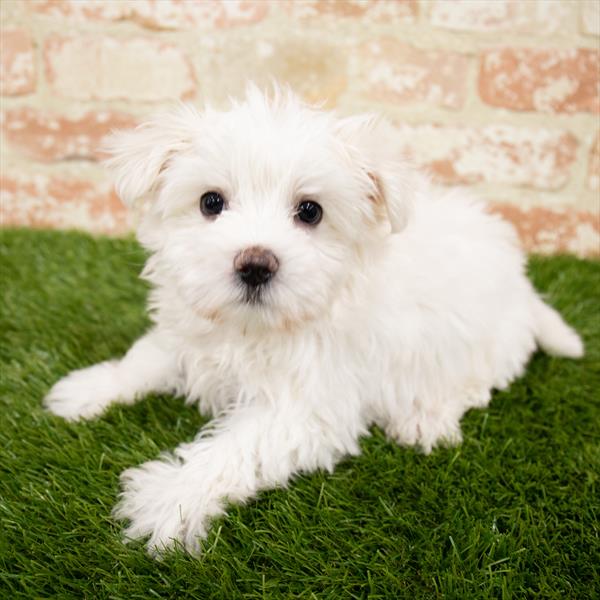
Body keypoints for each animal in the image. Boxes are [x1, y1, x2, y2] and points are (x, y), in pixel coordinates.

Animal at [44, 88, 584, 556]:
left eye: (310, 211)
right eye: (210, 202)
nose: (256, 264)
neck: (252, 328)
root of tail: (523, 287)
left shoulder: (309, 405)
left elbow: (232, 449)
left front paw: (170, 499)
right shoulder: (188, 331)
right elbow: (145, 358)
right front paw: (89, 390)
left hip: (480, 346)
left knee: (476, 383)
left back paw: (423, 420)